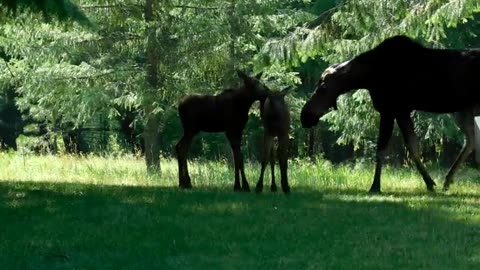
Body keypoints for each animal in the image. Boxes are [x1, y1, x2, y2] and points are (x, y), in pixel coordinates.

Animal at [302, 34, 480, 193]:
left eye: (323, 87)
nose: (305, 115)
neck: (368, 77)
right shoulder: (399, 111)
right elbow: (411, 146)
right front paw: (429, 183)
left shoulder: (390, 109)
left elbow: (385, 149)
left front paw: (375, 186)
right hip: (462, 111)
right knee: (471, 140)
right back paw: (448, 180)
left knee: (471, 139)